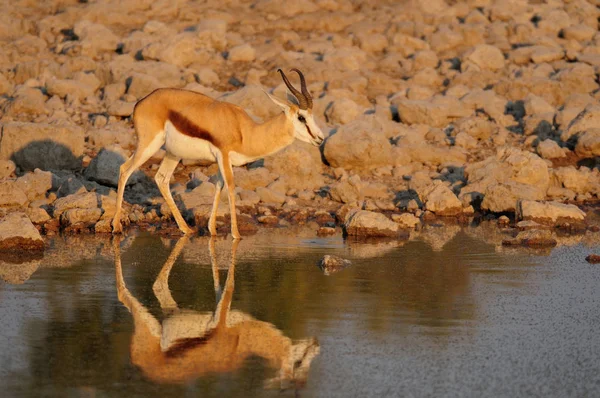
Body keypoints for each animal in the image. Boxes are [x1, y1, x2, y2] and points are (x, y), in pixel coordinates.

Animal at [109, 67, 322, 239]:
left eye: (312, 115)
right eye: (301, 117)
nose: (320, 138)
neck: (245, 131)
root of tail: (141, 102)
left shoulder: (221, 160)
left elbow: (218, 185)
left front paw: (211, 229)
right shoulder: (224, 155)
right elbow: (230, 186)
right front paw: (236, 234)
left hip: (172, 153)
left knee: (161, 178)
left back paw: (186, 229)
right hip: (149, 145)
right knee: (124, 169)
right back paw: (116, 226)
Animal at [112, 236, 318, 388]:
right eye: (299, 362)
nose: (316, 345)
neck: (240, 338)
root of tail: (139, 360)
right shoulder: (220, 317)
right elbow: (230, 285)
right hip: (148, 323)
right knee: (123, 293)